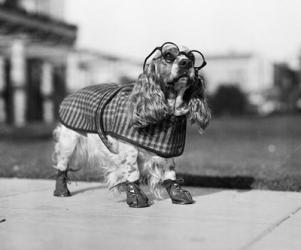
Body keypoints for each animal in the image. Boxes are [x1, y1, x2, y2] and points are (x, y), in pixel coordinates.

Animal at [52, 42, 211, 207]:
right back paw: (61, 191)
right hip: (68, 142)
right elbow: (133, 173)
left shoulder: (167, 151)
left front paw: (178, 194)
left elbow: (170, 174)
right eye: (168, 55)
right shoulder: (129, 149)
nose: (186, 63)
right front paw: (136, 197)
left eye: (192, 57)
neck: (169, 112)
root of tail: (72, 94)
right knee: (62, 167)